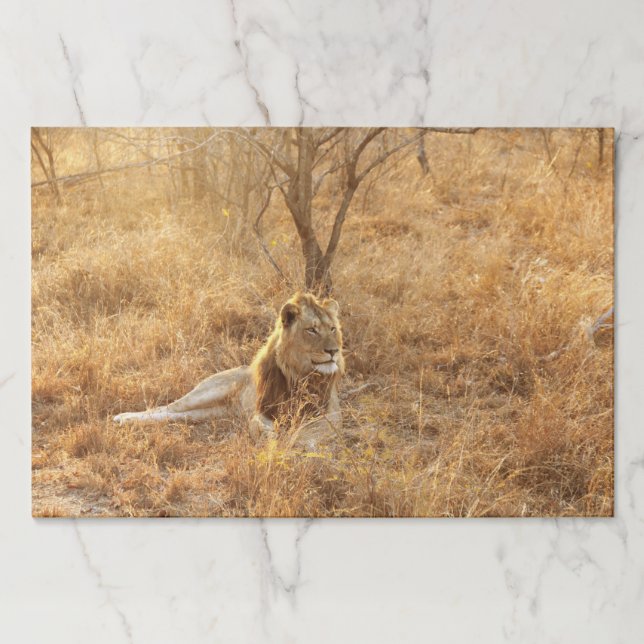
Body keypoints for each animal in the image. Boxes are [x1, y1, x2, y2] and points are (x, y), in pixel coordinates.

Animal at [113, 292, 344, 441]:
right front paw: (271, 437)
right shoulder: (263, 410)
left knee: (175, 415)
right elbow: (257, 425)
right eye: (311, 330)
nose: (334, 351)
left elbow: (311, 430)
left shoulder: (331, 413)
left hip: (211, 412)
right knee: (167, 408)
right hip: (206, 393)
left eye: (333, 329)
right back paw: (124, 418)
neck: (300, 374)